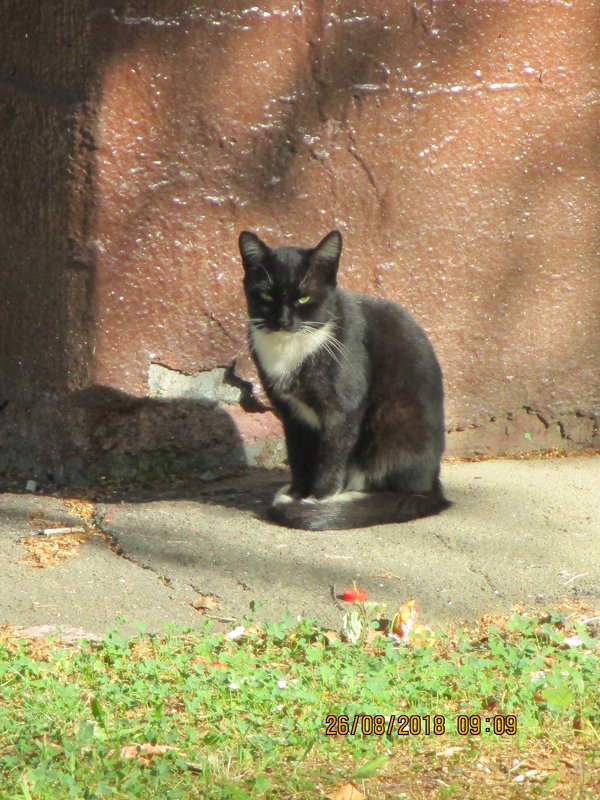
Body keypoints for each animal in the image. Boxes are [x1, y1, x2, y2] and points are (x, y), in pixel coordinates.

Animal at [239, 230, 450, 532]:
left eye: (304, 299)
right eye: (266, 295)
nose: (283, 321)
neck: (290, 347)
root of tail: (434, 486)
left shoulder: (343, 409)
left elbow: (331, 459)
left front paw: (316, 501)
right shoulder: (291, 413)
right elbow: (298, 454)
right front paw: (298, 492)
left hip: (394, 431)